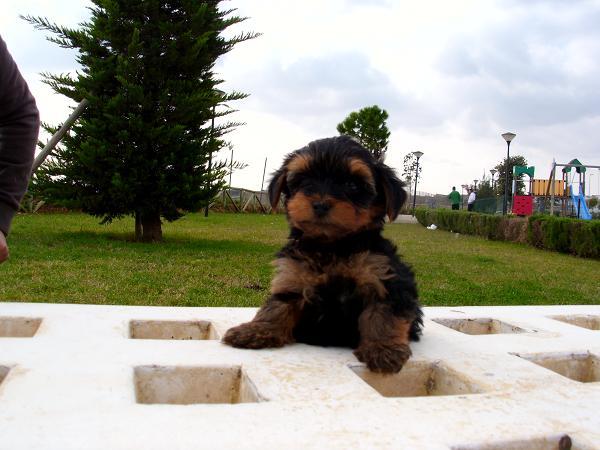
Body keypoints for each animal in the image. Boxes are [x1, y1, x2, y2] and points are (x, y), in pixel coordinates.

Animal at [223, 136, 424, 372]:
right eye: (303, 180)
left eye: (352, 185)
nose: (320, 204)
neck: (330, 246)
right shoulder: (293, 276)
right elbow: (277, 306)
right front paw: (255, 329)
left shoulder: (383, 277)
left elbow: (384, 315)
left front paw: (383, 349)